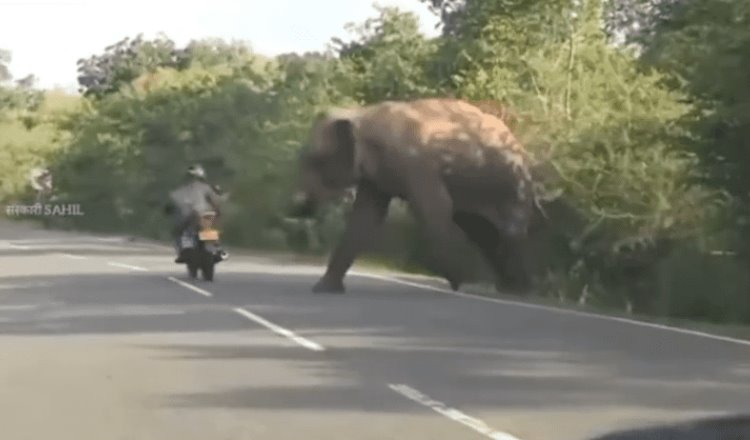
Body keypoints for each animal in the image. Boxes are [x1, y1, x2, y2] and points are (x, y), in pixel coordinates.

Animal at [288, 98, 540, 294]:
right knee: (485, 232)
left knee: (507, 232)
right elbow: (365, 217)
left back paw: (512, 289)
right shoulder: (377, 177)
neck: (363, 114)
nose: (300, 206)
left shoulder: (416, 162)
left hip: (513, 182)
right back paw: (508, 287)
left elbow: (435, 212)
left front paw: (462, 284)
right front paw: (323, 289)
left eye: (316, 160)